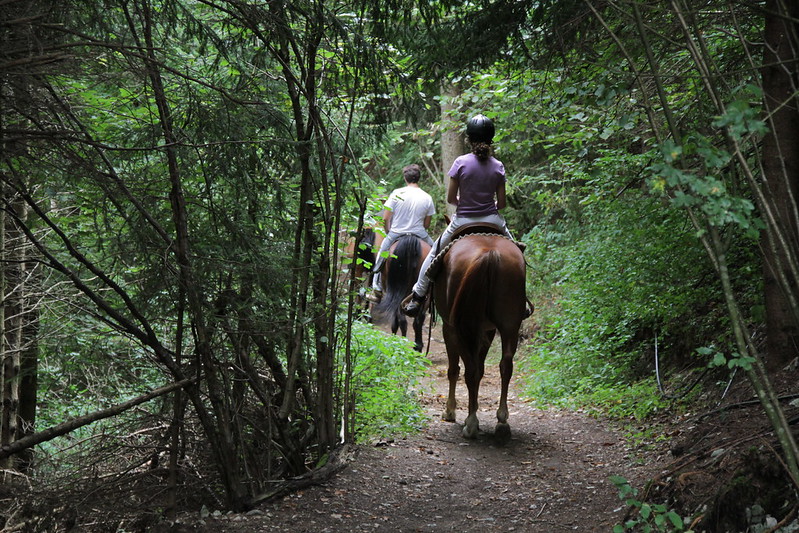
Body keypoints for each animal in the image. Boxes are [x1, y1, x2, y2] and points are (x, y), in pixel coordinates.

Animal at [434, 231, 528, 438]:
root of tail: (489, 254)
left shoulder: (449, 327)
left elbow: (454, 369)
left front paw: (450, 411)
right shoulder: (488, 329)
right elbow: (482, 367)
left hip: (461, 327)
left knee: (469, 370)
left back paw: (471, 423)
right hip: (510, 324)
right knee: (505, 365)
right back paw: (502, 421)